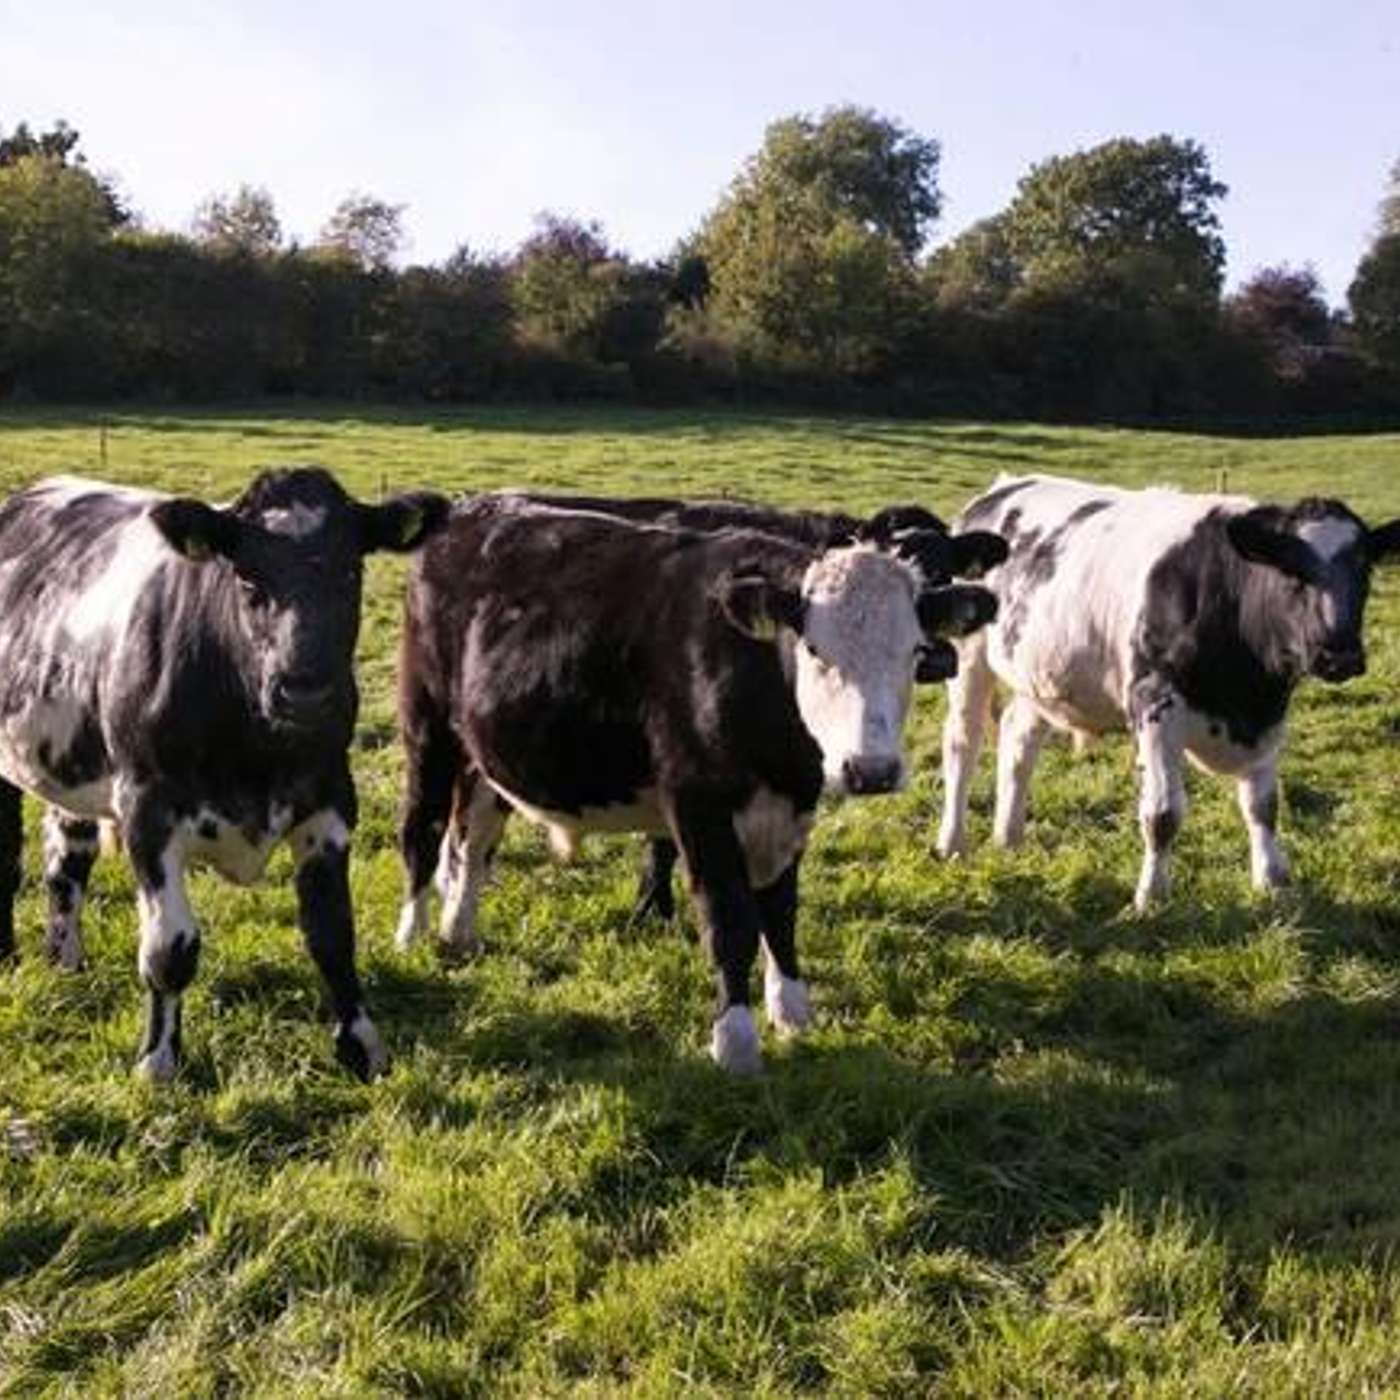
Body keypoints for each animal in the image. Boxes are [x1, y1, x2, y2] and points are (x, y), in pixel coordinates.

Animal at [0, 468, 448, 1081]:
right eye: (246, 576)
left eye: (350, 570)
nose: (305, 692)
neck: (256, 753)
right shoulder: (147, 811)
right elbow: (170, 948)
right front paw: (159, 1060)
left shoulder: (330, 802)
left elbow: (333, 933)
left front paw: (361, 1048)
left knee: (67, 862)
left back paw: (65, 959)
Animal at [936, 472, 1400, 909]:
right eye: (1290, 570)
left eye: (1364, 569)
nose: (1340, 656)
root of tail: (999, 489)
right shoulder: (1154, 705)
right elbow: (1162, 815)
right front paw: (1151, 897)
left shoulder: (1269, 717)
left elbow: (1263, 807)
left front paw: (1272, 885)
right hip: (968, 655)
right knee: (963, 742)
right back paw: (952, 842)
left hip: (1040, 672)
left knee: (1018, 738)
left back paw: (1009, 838)